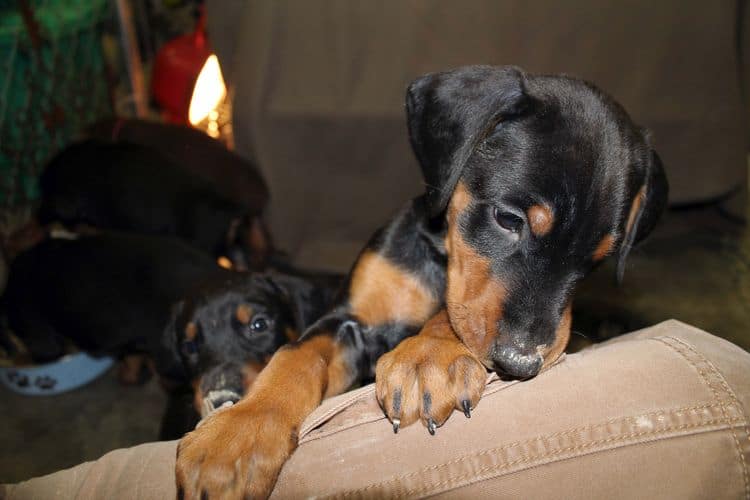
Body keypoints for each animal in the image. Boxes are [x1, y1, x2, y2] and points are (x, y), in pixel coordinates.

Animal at [178, 67, 668, 500]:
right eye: (508, 219)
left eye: (597, 261)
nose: (521, 364)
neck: (440, 256)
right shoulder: (349, 320)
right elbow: (295, 356)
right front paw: (235, 437)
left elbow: (451, 314)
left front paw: (427, 357)